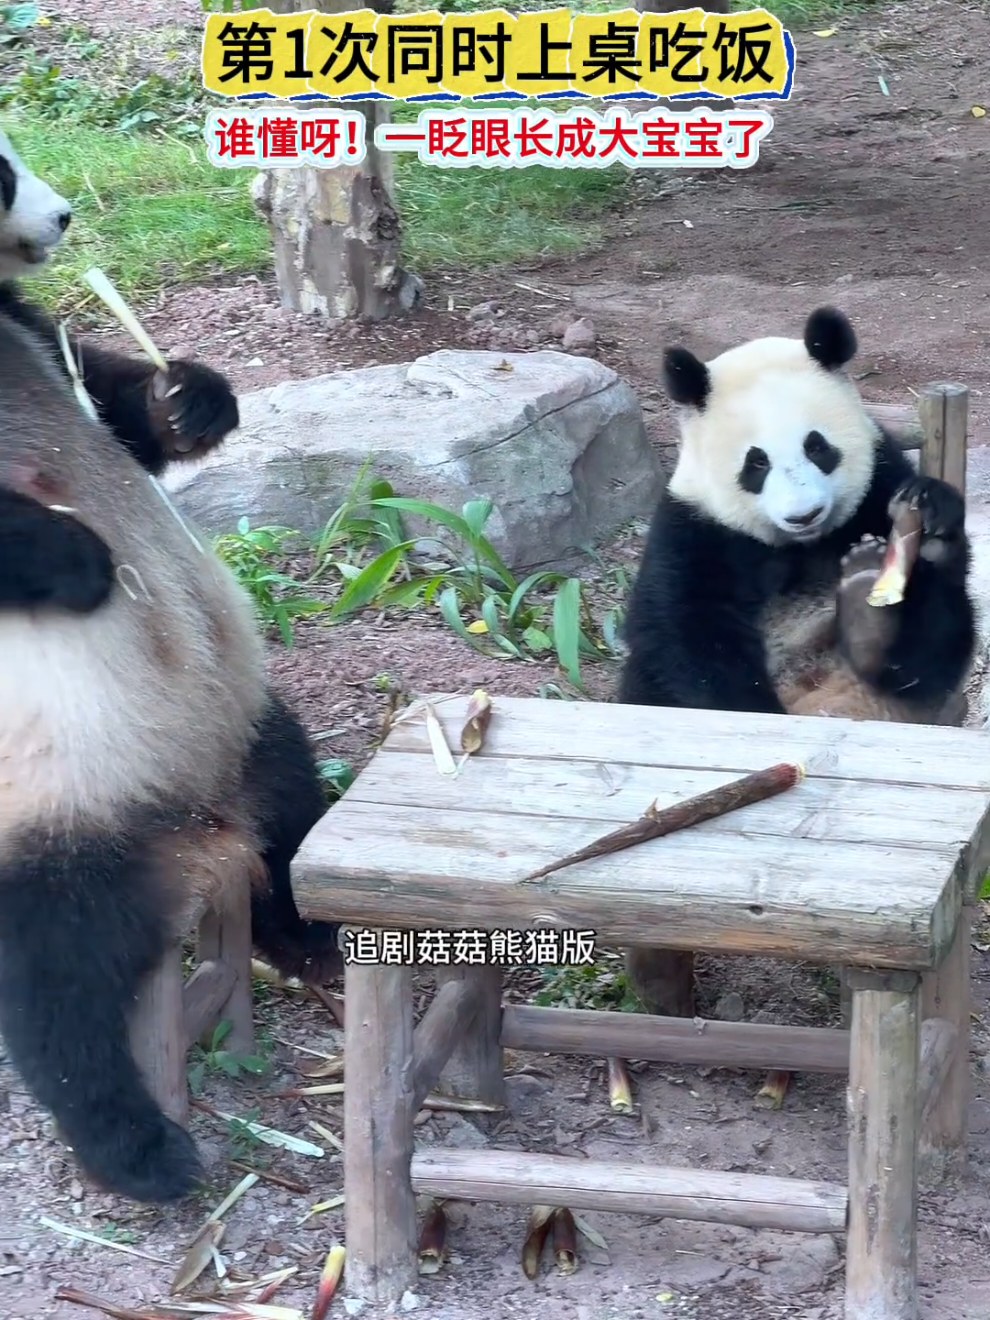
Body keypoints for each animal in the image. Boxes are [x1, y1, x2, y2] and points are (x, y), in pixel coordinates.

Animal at [0, 128, 344, 1204]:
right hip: (56, 798)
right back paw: (137, 1148)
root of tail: (192, 826)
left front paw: (185, 395)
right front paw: (78, 560)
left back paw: (308, 929)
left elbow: (112, 402)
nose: (64, 217)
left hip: (238, 721)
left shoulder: (23, 325)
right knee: (56, 972)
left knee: (293, 804)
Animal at [617, 305, 976, 1018]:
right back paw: (661, 986)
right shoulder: (695, 529)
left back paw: (878, 602)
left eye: (818, 447)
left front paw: (932, 520)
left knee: (933, 647)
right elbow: (683, 634)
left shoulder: (879, 483)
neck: (799, 546)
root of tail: (829, 705)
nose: (805, 512)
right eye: (754, 463)